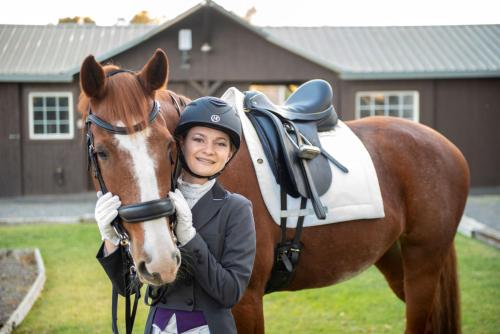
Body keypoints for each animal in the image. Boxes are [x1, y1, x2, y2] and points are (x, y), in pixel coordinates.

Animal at [78, 49, 468, 334]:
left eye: (168, 146)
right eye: (102, 152)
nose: (160, 259)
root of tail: (445, 145)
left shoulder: (246, 300)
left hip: (423, 263)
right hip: (396, 259)